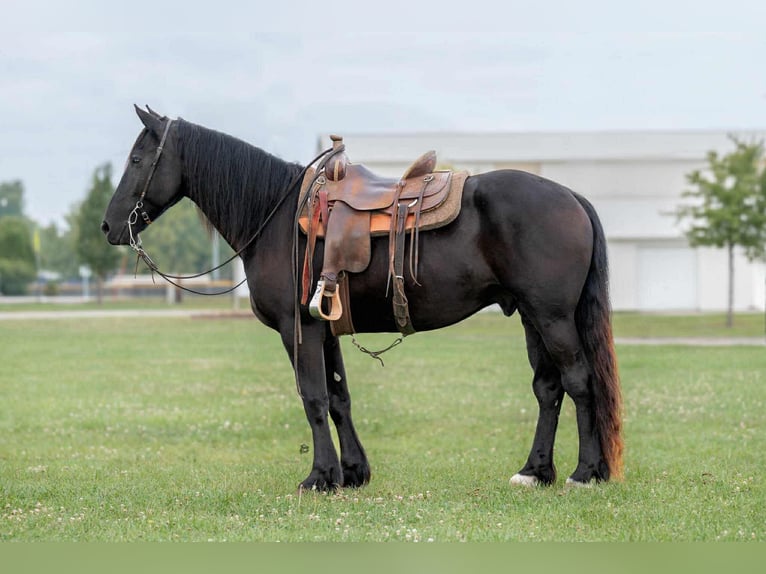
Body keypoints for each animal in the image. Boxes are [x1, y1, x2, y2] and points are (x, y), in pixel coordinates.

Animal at [102, 106, 623, 491]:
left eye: (136, 161)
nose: (108, 226)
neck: (275, 218)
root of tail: (572, 197)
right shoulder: (325, 328)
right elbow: (338, 398)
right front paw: (352, 472)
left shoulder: (299, 329)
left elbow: (313, 397)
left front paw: (319, 477)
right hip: (532, 317)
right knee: (548, 388)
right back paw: (535, 471)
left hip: (553, 317)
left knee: (579, 382)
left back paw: (584, 472)